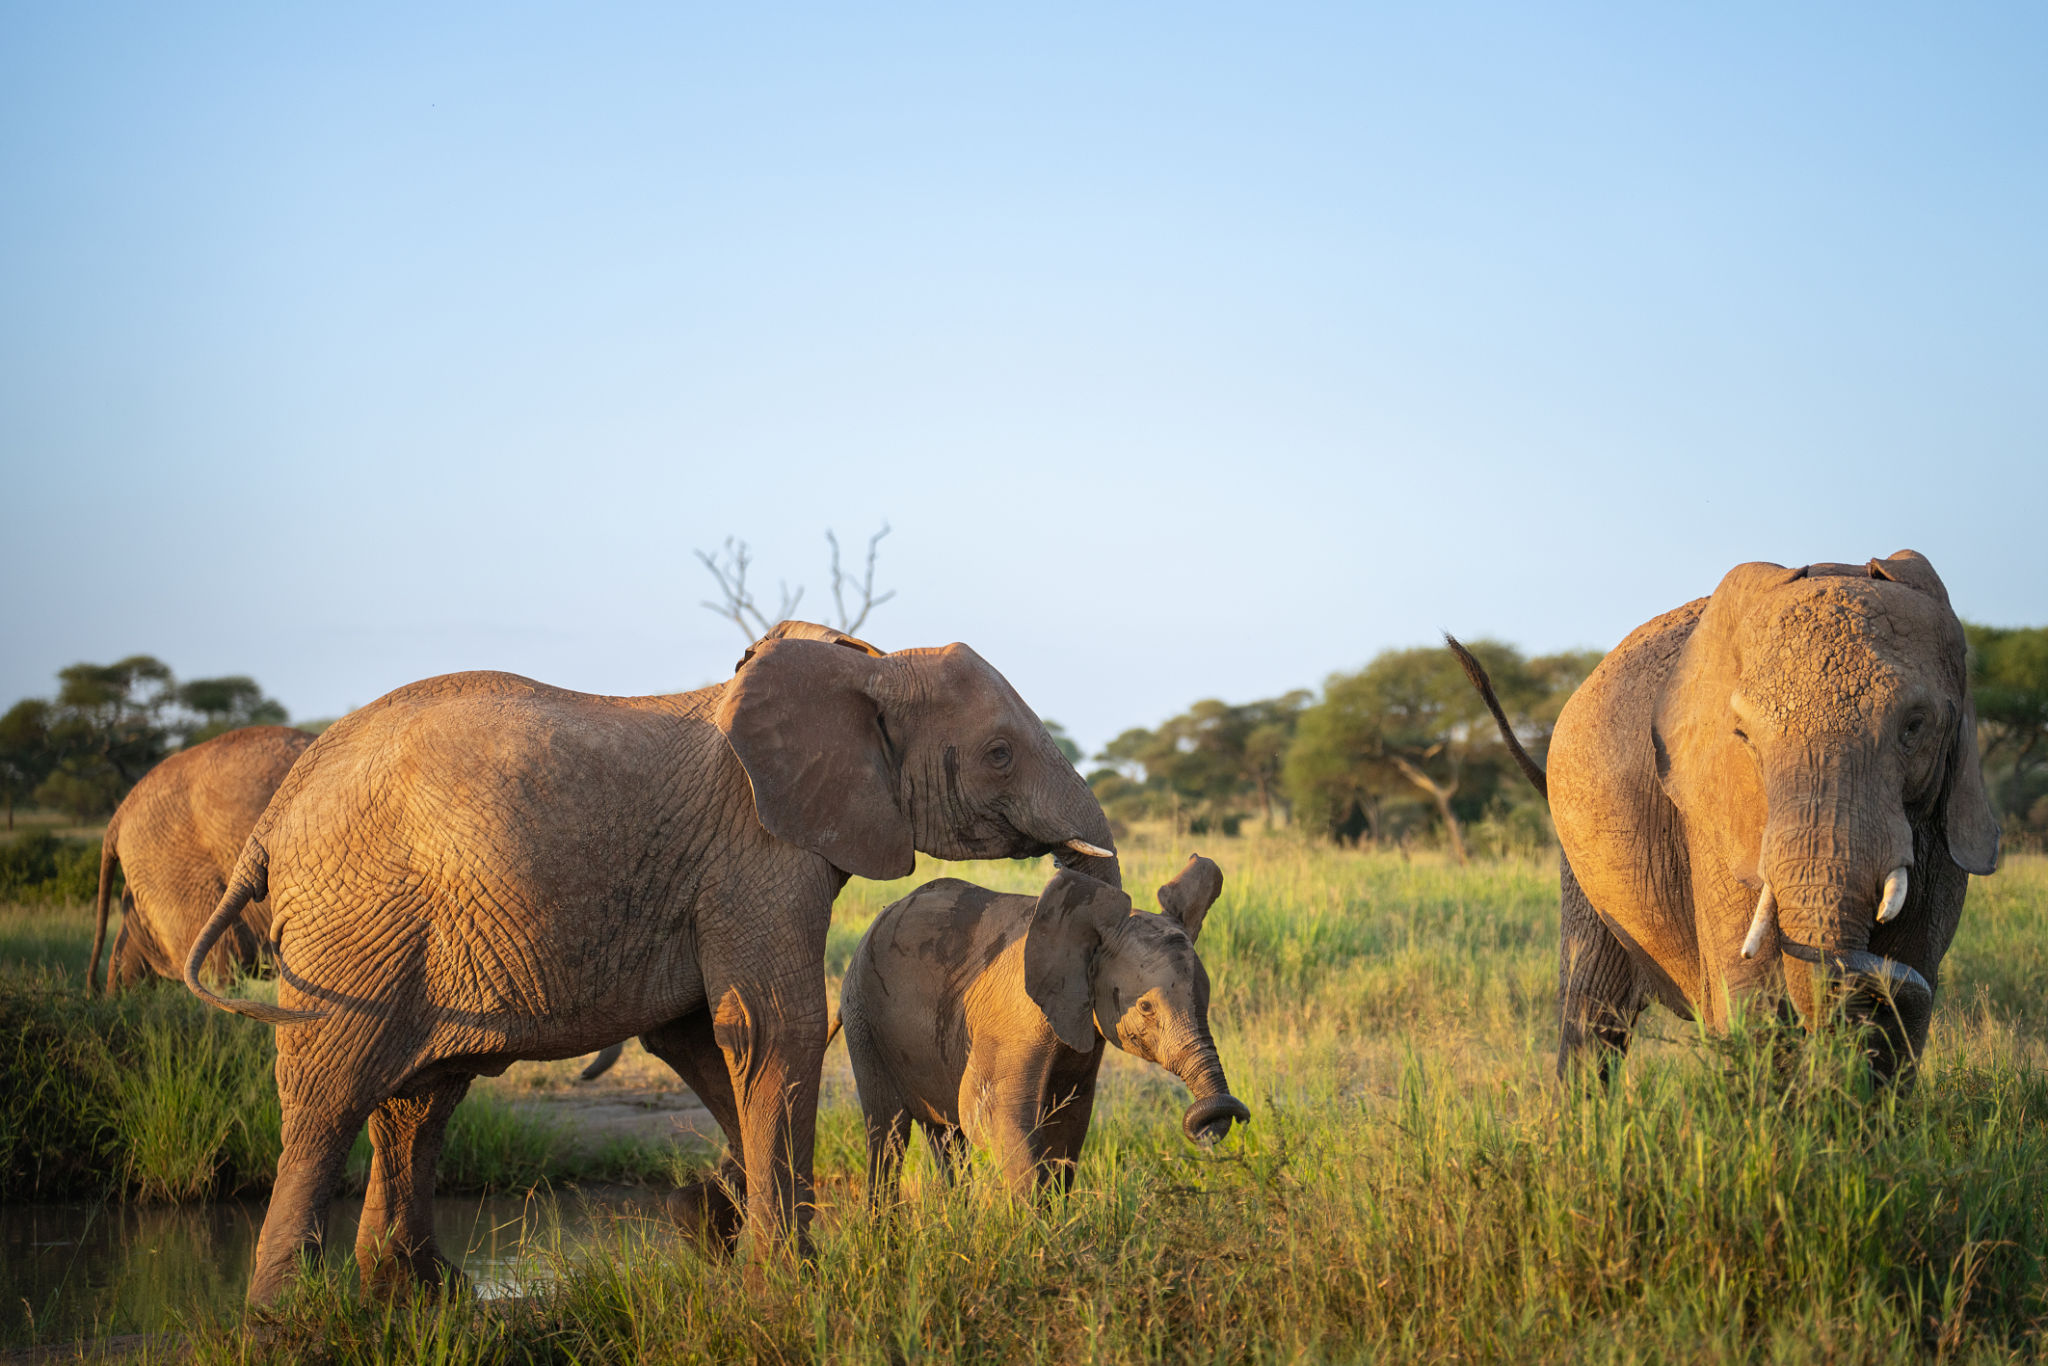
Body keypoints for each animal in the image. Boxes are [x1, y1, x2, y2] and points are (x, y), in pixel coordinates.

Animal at [182, 620, 1119, 1303]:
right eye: (999, 753)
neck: (872, 668)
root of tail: (273, 820)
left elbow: (704, 1037)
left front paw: (721, 1226)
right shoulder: (758, 850)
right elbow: (776, 1027)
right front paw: (786, 1280)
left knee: (421, 1098)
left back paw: (422, 1296)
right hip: (356, 928)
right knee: (329, 1095)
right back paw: (285, 1318)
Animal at [838, 856, 1248, 1205]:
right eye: (1146, 1007)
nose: (1218, 1123)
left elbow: (1069, 1123)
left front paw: (1054, 1226)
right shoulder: (1013, 1022)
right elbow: (993, 1116)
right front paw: (1032, 1234)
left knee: (947, 1139)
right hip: (862, 1015)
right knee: (888, 1132)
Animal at [1454, 549, 1999, 1081]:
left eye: (1914, 727)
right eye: (1744, 737)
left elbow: (1900, 1015)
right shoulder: (1712, 815)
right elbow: (1756, 1004)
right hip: (1583, 862)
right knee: (1592, 1014)